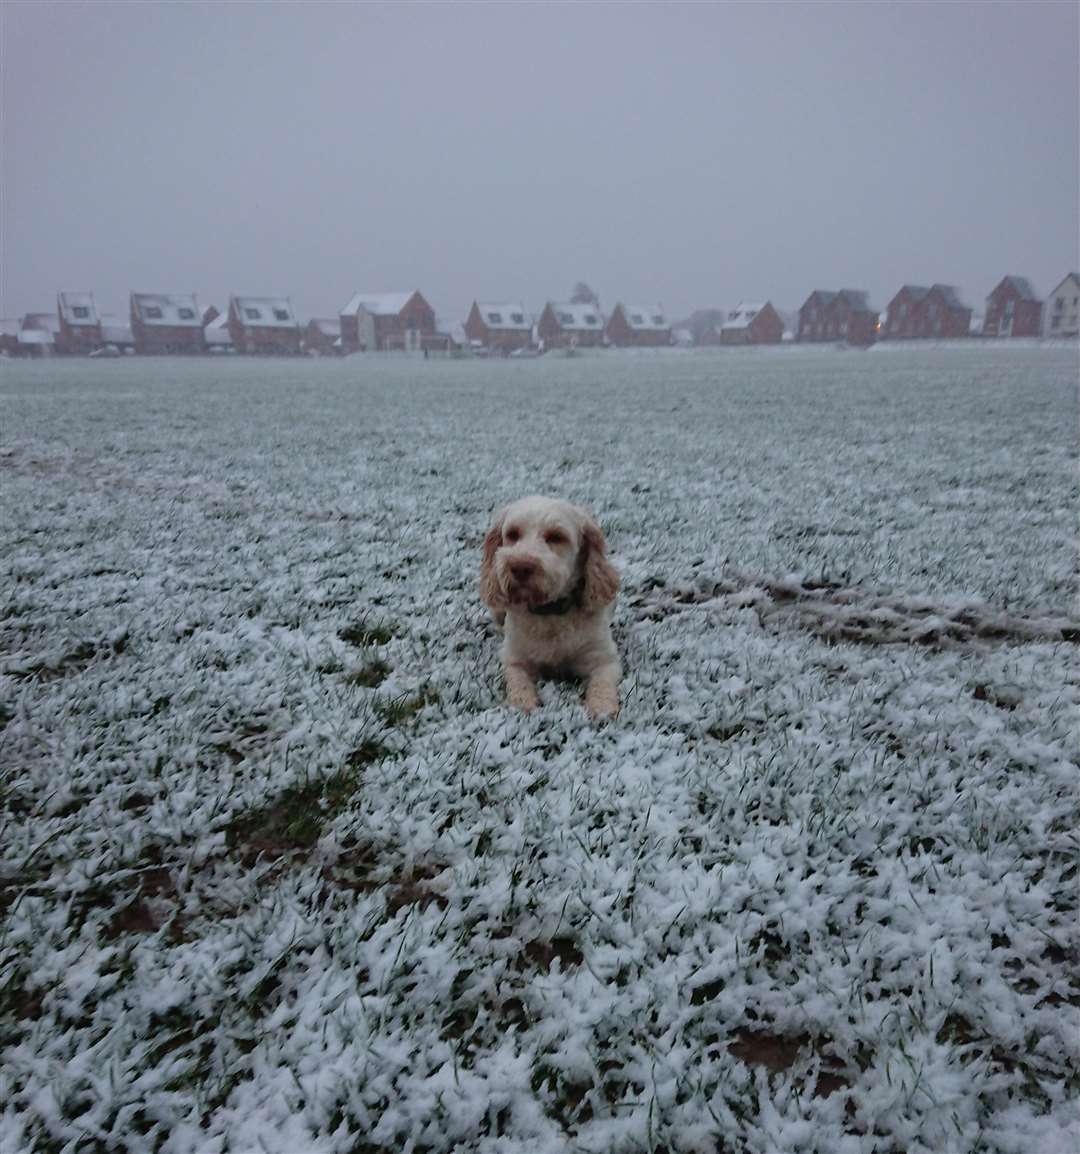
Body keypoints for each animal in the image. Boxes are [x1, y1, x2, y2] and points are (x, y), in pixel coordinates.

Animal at [482, 493, 623, 715]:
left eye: (556, 537)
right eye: (513, 534)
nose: (520, 567)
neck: (550, 613)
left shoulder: (604, 659)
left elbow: (602, 684)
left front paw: (601, 709)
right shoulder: (513, 659)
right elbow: (518, 682)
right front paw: (523, 704)